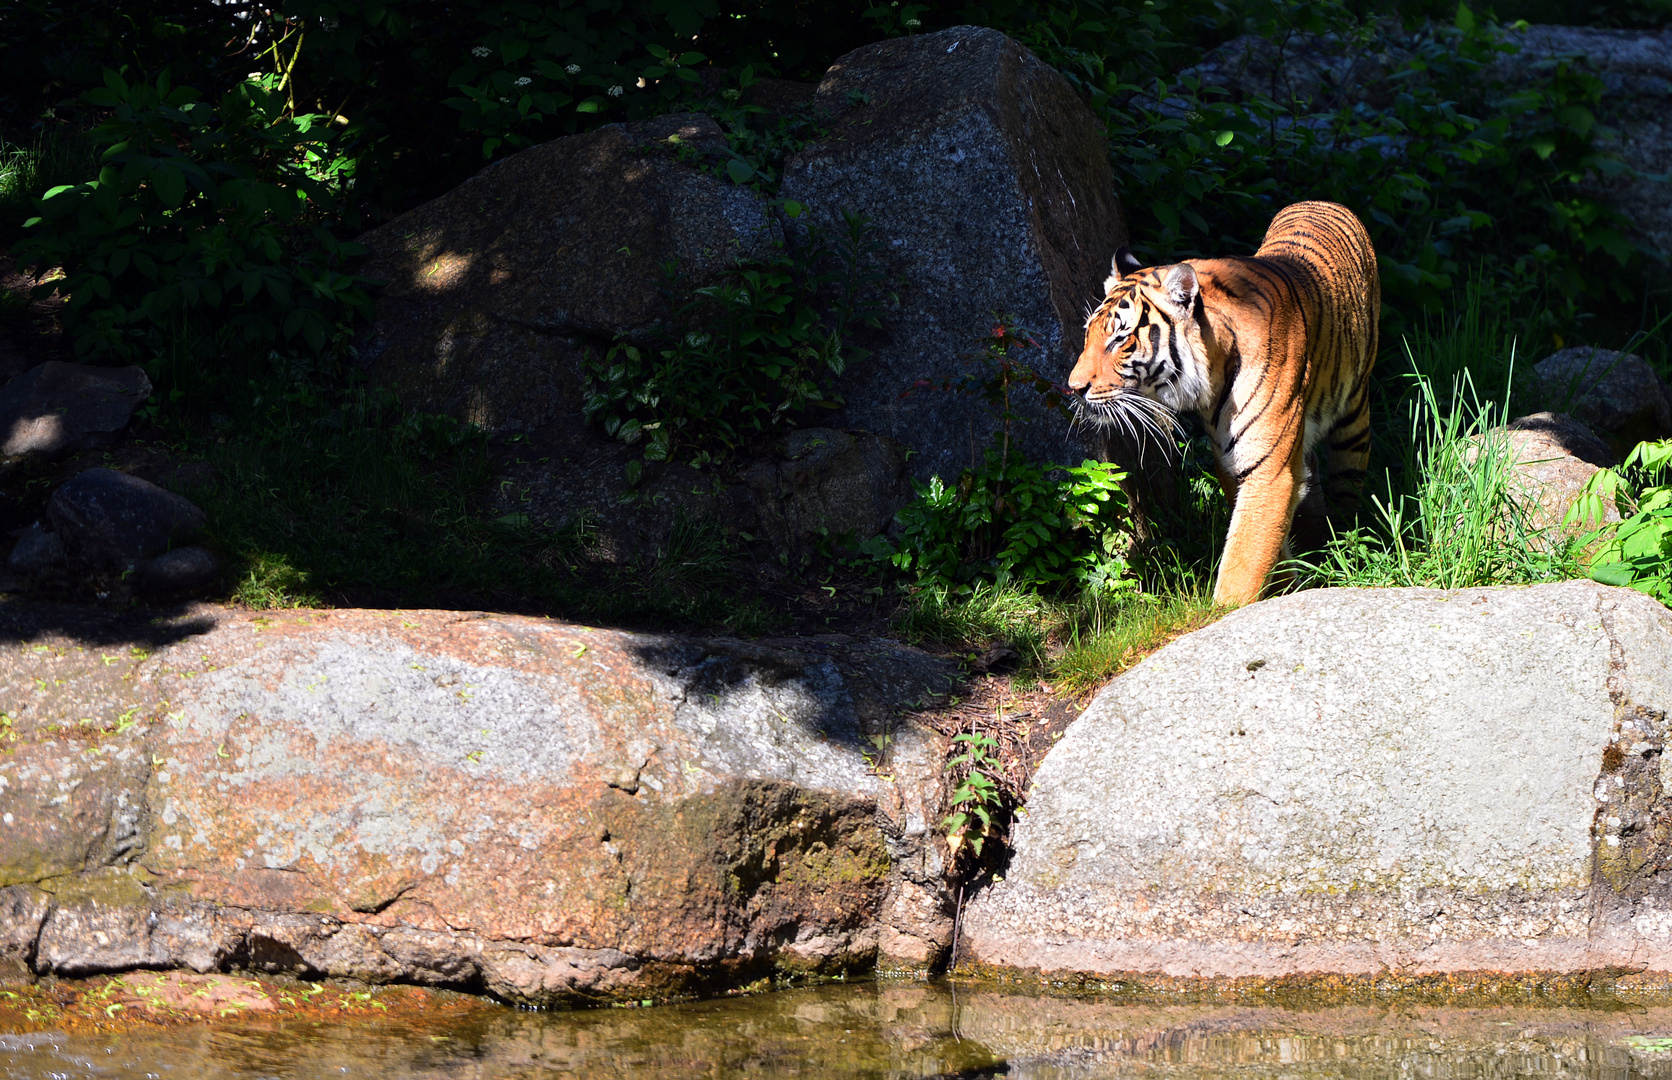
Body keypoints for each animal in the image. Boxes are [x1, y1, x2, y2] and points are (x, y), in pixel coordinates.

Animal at [1070, 203, 1384, 608]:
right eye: (1089, 334)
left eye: (1120, 340)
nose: (1073, 387)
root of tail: (1325, 202)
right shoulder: (1231, 461)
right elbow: (1262, 542)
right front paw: (1283, 586)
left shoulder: (1268, 469)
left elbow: (1244, 557)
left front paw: (1226, 610)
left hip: (1353, 421)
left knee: (1348, 487)